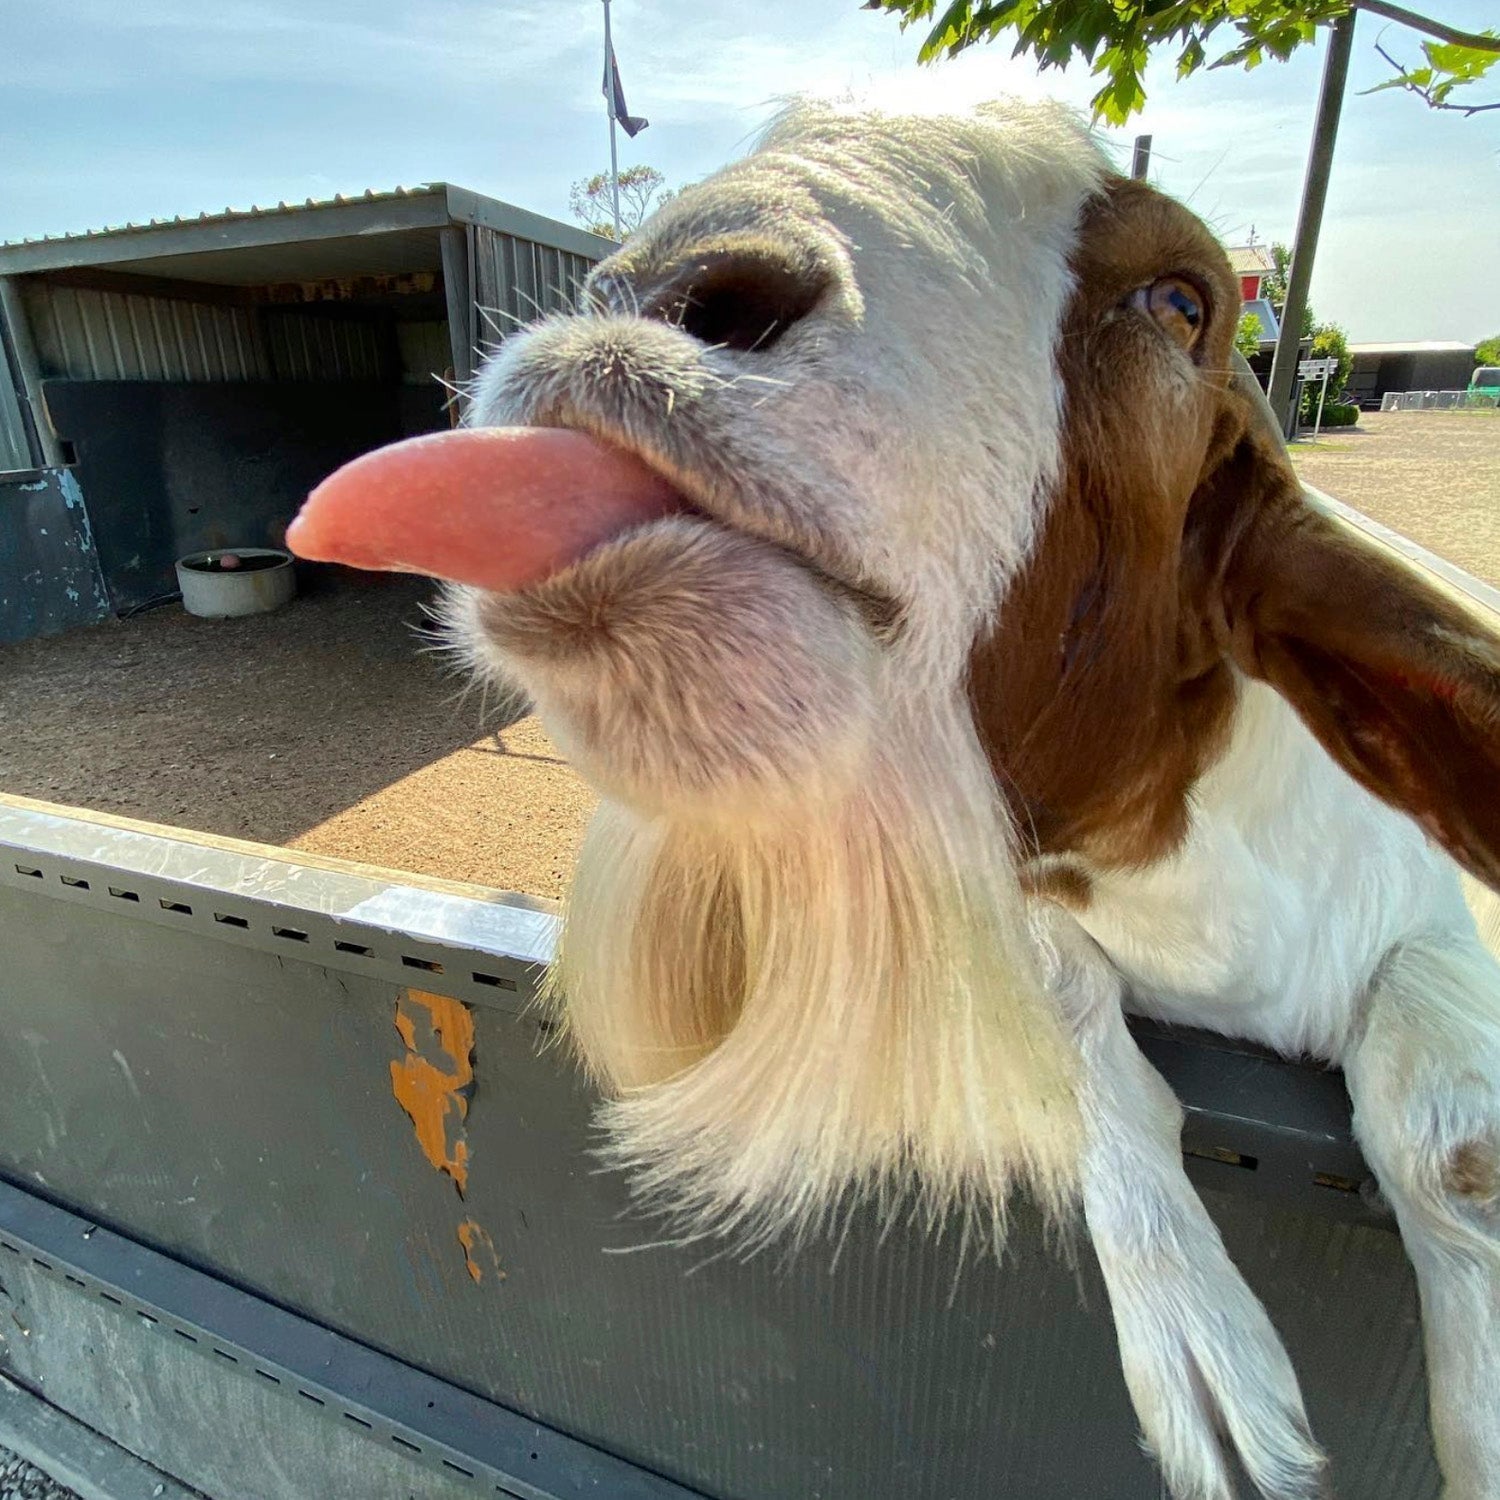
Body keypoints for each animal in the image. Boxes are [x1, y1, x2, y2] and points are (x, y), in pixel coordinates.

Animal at [290, 99, 1500, 1500]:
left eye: (1184, 303)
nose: (662, 285)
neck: (1193, 905)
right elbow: (1074, 1022)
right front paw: (1207, 1364)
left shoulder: (1428, 921)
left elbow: (1450, 1143)